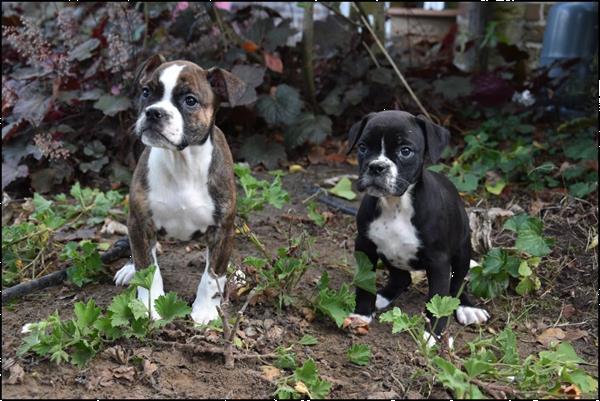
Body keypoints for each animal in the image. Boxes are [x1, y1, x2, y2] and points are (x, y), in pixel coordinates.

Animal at [346, 109, 488, 344]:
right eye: (363, 147)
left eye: (405, 151)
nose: (376, 166)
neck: (395, 204)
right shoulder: (365, 246)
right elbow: (365, 282)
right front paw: (362, 314)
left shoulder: (439, 262)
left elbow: (439, 297)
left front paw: (432, 334)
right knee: (402, 278)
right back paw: (382, 297)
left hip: (462, 251)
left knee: (457, 283)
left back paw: (468, 308)